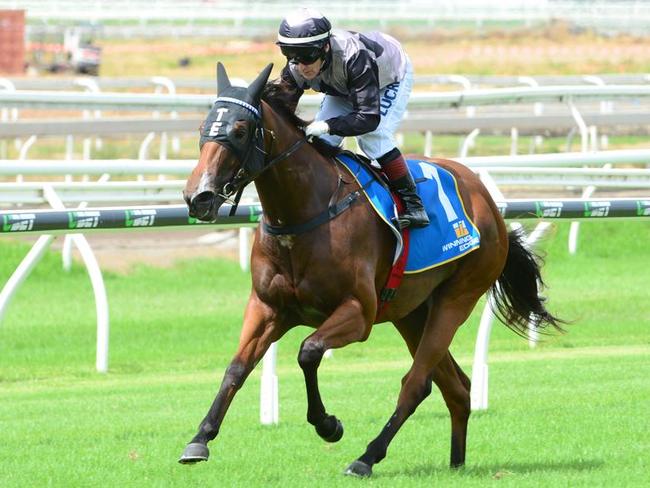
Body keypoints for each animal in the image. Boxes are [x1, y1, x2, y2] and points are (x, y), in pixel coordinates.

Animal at [178, 61, 560, 476]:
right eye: (203, 128)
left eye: (240, 130)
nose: (198, 196)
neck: (305, 214)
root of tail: (485, 198)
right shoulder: (267, 308)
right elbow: (237, 367)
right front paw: (199, 439)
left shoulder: (358, 313)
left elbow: (308, 351)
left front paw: (328, 424)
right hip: (411, 313)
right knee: (455, 387)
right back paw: (456, 463)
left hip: (456, 298)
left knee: (416, 383)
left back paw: (366, 457)